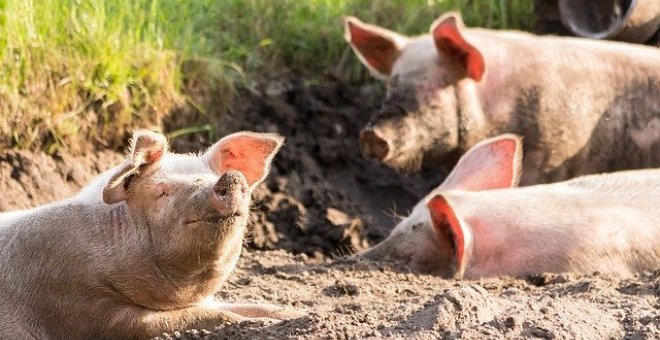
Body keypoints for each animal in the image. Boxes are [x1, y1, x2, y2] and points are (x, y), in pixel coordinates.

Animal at [0, 129, 302, 338]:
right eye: (162, 193)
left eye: (209, 176)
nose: (230, 177)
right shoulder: (81, 306)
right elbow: (204, 317)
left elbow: (249, 306)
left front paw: (294, 315)